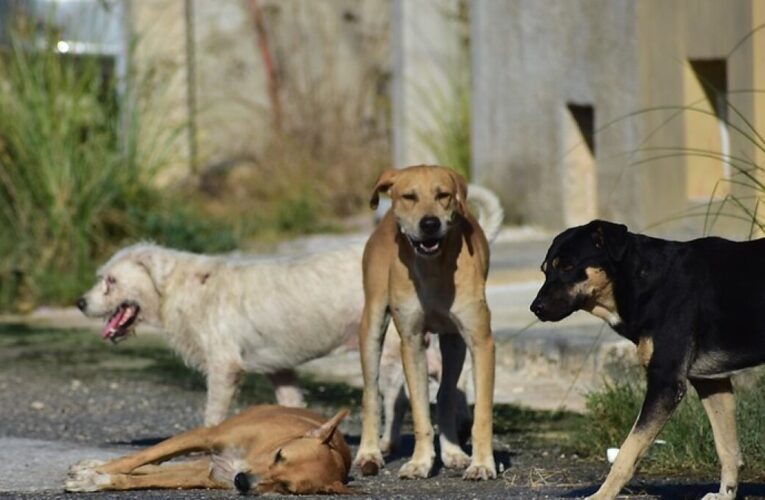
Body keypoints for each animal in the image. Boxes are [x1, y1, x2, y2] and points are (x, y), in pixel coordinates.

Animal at [65, 406, 352, 496]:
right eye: (279, 455)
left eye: (285, 487)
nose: (241, 481)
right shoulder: (204, 435)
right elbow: (136, 457)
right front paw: (96, 473)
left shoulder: (208, 476)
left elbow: (134, 478)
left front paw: (96, 479)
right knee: (144, 460)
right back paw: (92, 464)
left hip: (202, 466)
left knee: (155, 469)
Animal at [74, 186, 498, 428]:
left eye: (110, 281)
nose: (79, 302)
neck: (178, 288)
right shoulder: (280, 370)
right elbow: (291, 401)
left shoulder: (224, 368)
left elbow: (213, 415)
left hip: (394, 342)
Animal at [354, 165, 496, 480]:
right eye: (410, 196)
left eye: (443, 195)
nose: (430, 223)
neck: (433, 268)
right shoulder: (412, 342)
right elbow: (419, 412)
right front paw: (420, 462)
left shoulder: (480, 342)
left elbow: (481, 415)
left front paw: (481, 464)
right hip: (371, 325)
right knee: (370, 394)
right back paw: (369, 452)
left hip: (454, 343)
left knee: (445, 395)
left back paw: (454, 453)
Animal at [536, 221, 764, 498]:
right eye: (545, 270)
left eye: (568, 267)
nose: (535, 308)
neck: (643, 281)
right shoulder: (711, 382)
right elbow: (727, 449)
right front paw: (725, 494)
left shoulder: (665, 385)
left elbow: (627, 451)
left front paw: (602, 495)